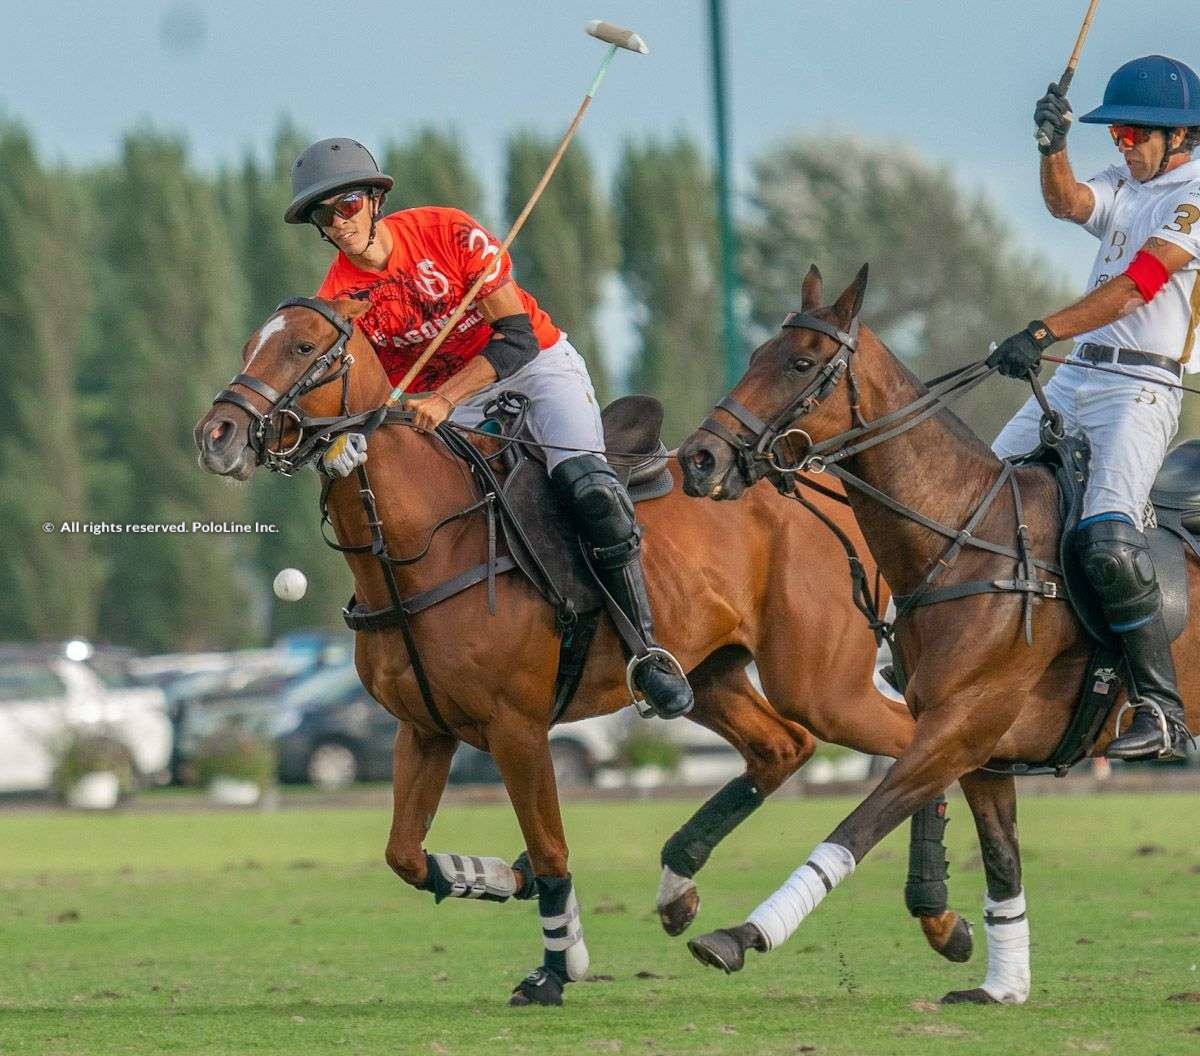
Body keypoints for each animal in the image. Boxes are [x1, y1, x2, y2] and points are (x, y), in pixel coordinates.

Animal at [192, 297, 964, 1008]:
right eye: (249, 343)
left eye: (301, 347)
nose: (216, 435)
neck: (423, 541)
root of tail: (820, 482)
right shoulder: (425, 728)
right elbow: (405, 854)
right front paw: (502, 877)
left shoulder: (516, 727)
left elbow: (552, 847)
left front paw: (556, 970)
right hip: (710, 673)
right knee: (783, 746)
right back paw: (680, 887)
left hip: (821, 681)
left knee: (915, 744)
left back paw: (938, 917)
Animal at [681, 266, 1195, 1008]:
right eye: (753, 356)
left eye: (801, 363)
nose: (698, 458)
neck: (962, 544)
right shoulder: (984, 749)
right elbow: (1003, 859)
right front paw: (1001, 986)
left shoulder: (958, 728)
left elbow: (855, 830)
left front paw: (741, 936)